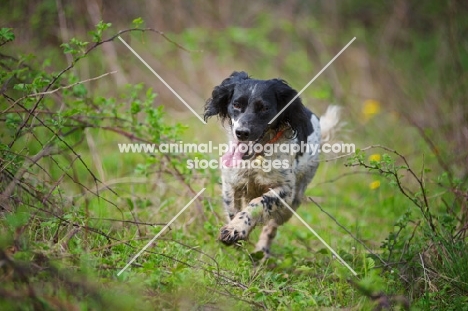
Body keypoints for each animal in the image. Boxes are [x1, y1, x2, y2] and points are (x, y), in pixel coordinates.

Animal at [203, 72, 338, 258]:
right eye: (236, 104)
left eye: (264, 108)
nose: (242, 132)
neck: (257, 157)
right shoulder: (231, 182)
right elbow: (233, 210)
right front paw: (236, 234)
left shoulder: (285, 190)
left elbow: (258, 204)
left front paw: (237, 228)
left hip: (293, 202)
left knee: (272, 226)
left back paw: (262, 250)